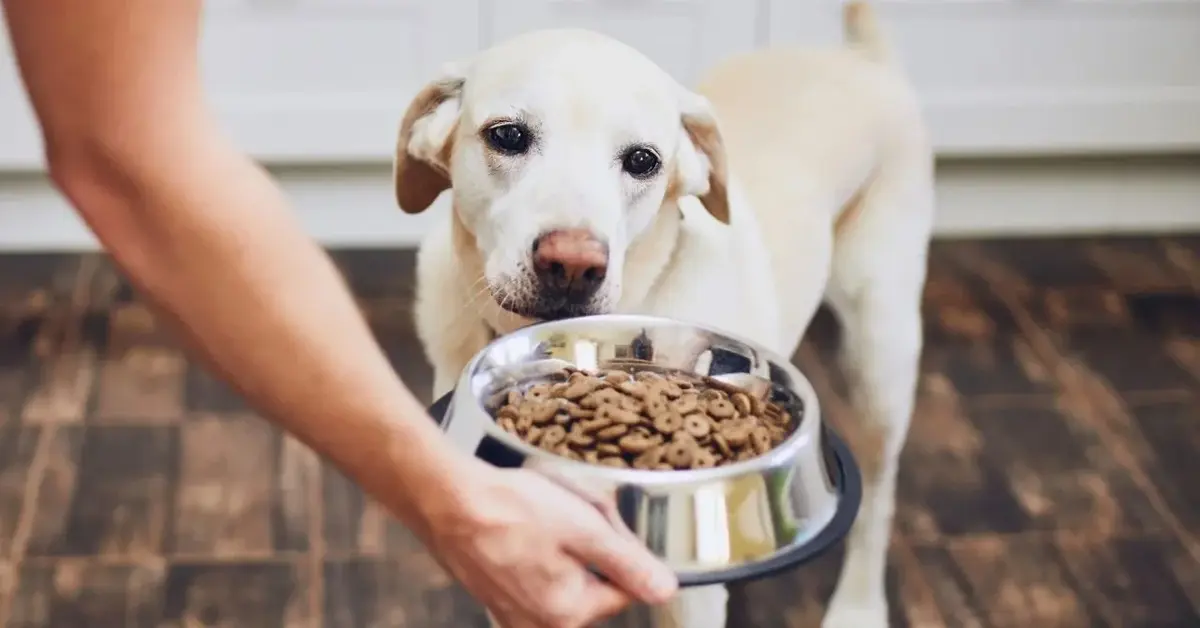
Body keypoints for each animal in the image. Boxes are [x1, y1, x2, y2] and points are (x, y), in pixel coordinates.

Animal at [398, 2, 931, 624]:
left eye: (642, 160)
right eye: (506, 135)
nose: (572, 265)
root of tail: (862, 58)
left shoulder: (690, 598)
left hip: (880, 358)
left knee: (879, 497)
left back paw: (858, 605)